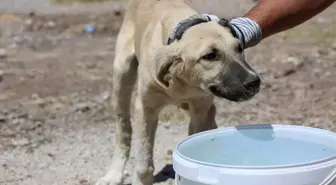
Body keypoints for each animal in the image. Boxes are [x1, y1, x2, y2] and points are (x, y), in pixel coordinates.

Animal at [96, 0, 262, 185]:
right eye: (210, 56)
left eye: (239, 48)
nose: (254, 82)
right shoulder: (145, 108)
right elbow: (143, 166)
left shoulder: (200, 109)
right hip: (122, 75)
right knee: (123, 130)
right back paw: (114, 174)